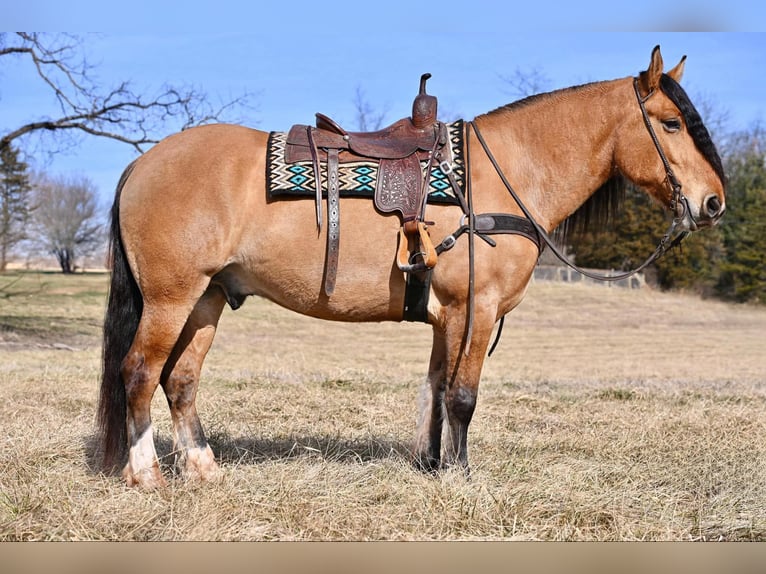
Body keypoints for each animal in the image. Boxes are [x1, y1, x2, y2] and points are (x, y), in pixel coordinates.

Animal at [96, 46, 728, 490]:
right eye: (671, 123)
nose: (713, 203)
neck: (504, 176)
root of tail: (142, 163)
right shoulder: (476, 308)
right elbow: (463, 396)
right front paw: (461, 475)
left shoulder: (446, 315)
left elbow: (436, 389)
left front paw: (429, 464)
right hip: (171, 298)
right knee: (139, 373)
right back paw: (146, 474)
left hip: (206, 299)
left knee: (181, 379)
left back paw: (204, 470)